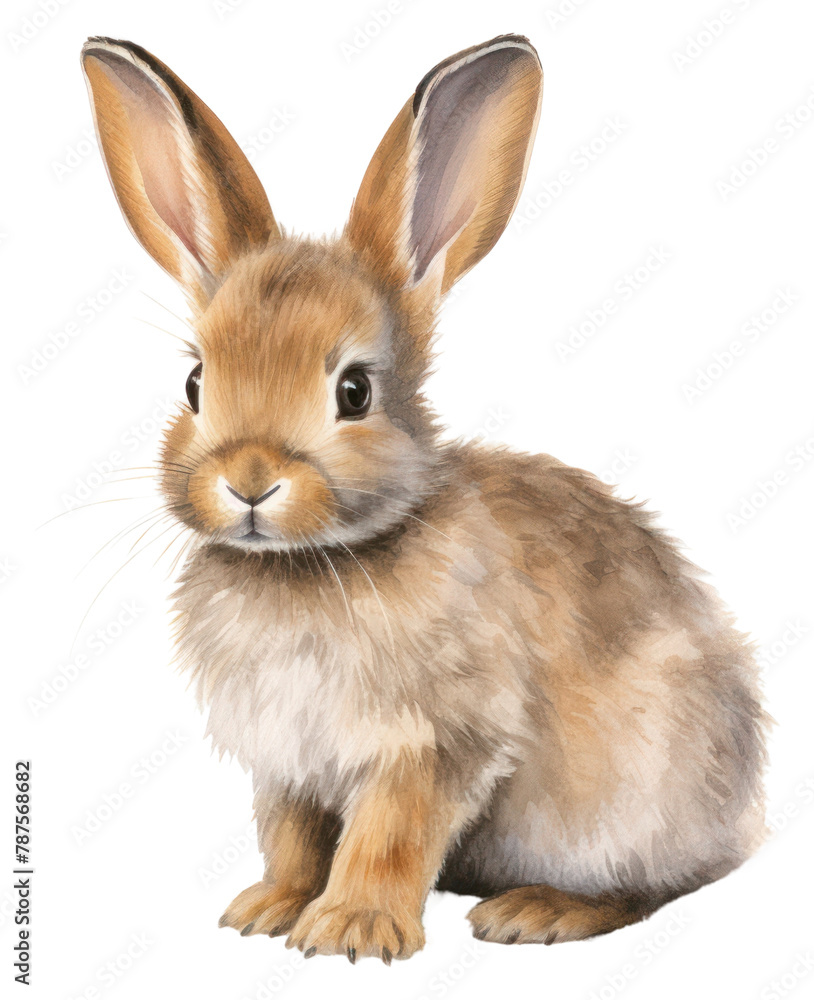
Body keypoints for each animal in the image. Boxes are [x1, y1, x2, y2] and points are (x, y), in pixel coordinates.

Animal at [81, 33, 768, 963]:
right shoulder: (287, 763)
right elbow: (292, 836)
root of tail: (744, 820)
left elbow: (389, 833)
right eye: (194, 383)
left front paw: (352, 931)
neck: (310, 565)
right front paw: (269, 909)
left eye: (355, 391)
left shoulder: (431, 743)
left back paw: (536, 912)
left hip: (635, 796)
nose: (250, 479)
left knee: (648, 886)